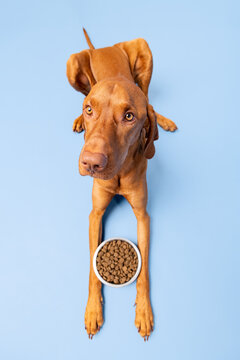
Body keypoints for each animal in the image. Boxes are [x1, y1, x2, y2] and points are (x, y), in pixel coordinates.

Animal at [66, 28, 177, 340]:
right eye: (91, 110)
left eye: (129, 117)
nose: (90, 163)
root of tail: (101, 46)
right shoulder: (95, 214)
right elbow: (92, 272)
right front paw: (93, 311)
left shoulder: (143, 216)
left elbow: (145, 272)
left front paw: (144, 312)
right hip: (72, 65)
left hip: (144, 50)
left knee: (150, 99)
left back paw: (163, 119)